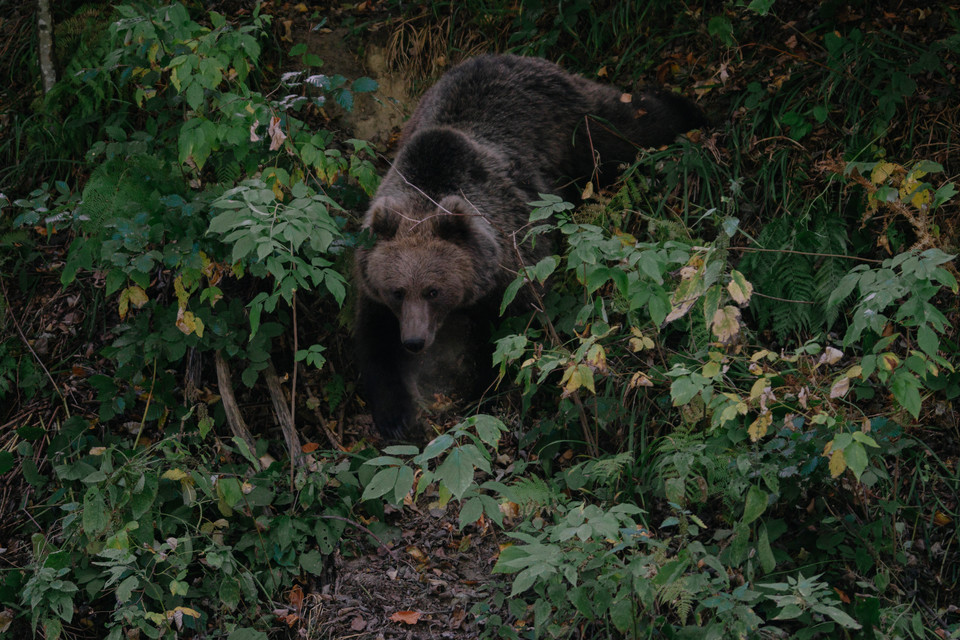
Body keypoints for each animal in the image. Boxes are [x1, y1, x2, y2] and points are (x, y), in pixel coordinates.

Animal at [352, 55, 704, 438]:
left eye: (433, 290)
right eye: (398, 291)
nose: (415, 340)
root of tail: (512, 57)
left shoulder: (514, 264)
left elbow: (512, 335)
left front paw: (483, 393)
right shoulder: (373, 281)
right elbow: (373, 343)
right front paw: (395, 418)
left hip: (571, 123)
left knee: (624, 127)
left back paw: (686, 109)